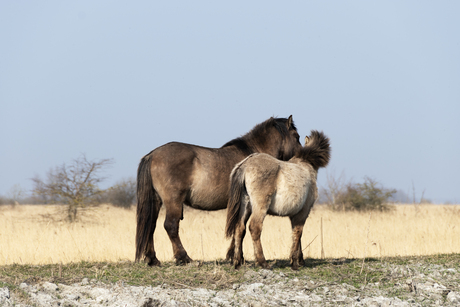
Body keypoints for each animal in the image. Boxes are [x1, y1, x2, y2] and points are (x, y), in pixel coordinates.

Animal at [137, 116, 302, 266]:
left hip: (156, 201)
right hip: (173, 201)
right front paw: (235, 256)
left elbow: (238, 228)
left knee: (150, 226)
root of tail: (152, 155)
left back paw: (153, 259)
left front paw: (235, 256)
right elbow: (239, 228)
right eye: (297, 136)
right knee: (171, 226)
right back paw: (185, 258)